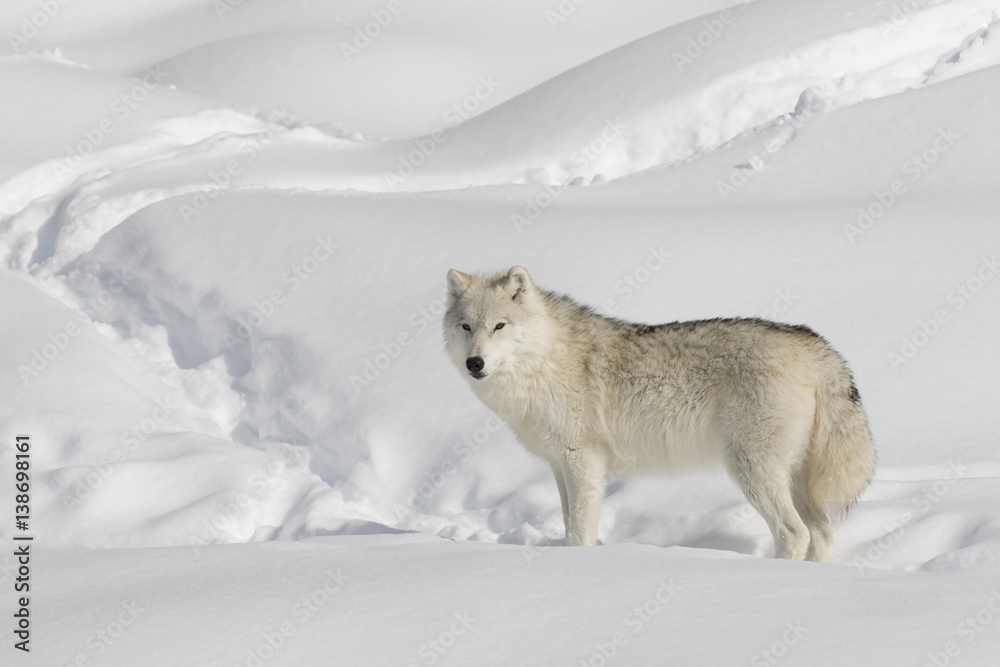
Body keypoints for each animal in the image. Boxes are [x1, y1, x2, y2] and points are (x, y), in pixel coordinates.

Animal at [443, 266, 875, 562]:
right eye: (466, 327)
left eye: (499, 326)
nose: (474, 363)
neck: (544, 360)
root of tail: (813, 344)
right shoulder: (558, 466)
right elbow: (569, 525)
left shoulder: (582, 462)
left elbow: (580, 532)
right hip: (795, 479)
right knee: (822, 534)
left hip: (751, 470)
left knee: (793, 533)